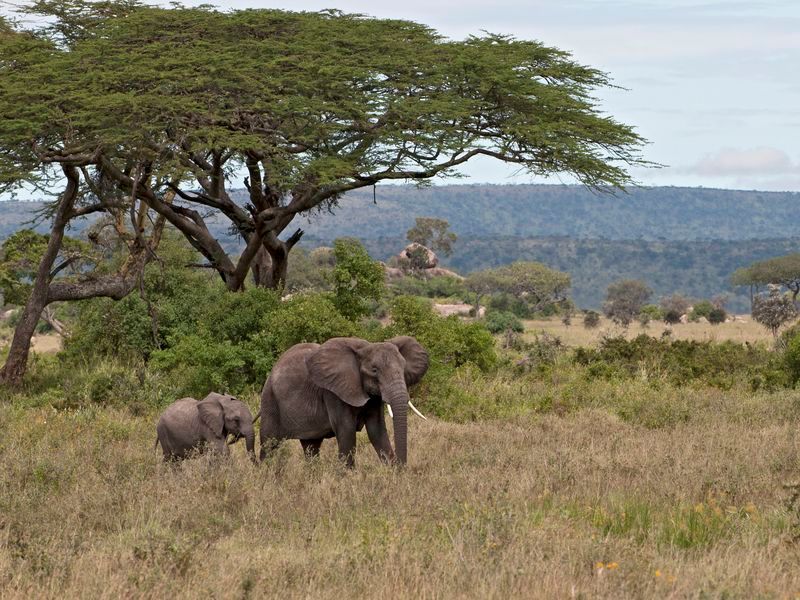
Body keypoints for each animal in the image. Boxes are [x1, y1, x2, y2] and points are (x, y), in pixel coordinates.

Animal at [258, 336, 429, 468]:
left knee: (311, 447)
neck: (364, 347)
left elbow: (377, 431)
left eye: (403, 368)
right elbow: (346, 431)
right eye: (374, 370)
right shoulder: (333, 393)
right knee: (269, 445)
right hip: (270, 401)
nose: (402, 466)